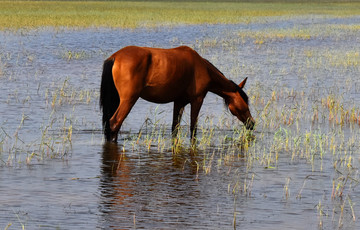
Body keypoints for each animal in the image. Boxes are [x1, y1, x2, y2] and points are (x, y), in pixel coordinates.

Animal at [100, 45, 255, 143]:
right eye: (245, 103)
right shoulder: (197, 100)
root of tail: (115, 57)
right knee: (114, 123)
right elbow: (193, 128)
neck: (202, 68)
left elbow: (175, 128)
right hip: (128, 100)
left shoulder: (179, 102)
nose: (252, 123)